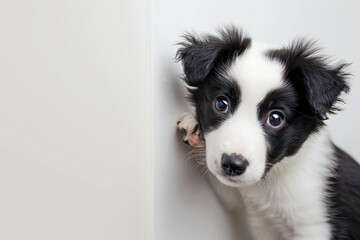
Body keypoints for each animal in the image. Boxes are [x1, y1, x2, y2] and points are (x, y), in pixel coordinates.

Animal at [176, 26, 360, 240]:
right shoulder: (253, 208)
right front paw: (193, 125)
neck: (274, 177)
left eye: (275, 118)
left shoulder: (314, 226)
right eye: (221, 104)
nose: (233, 165)